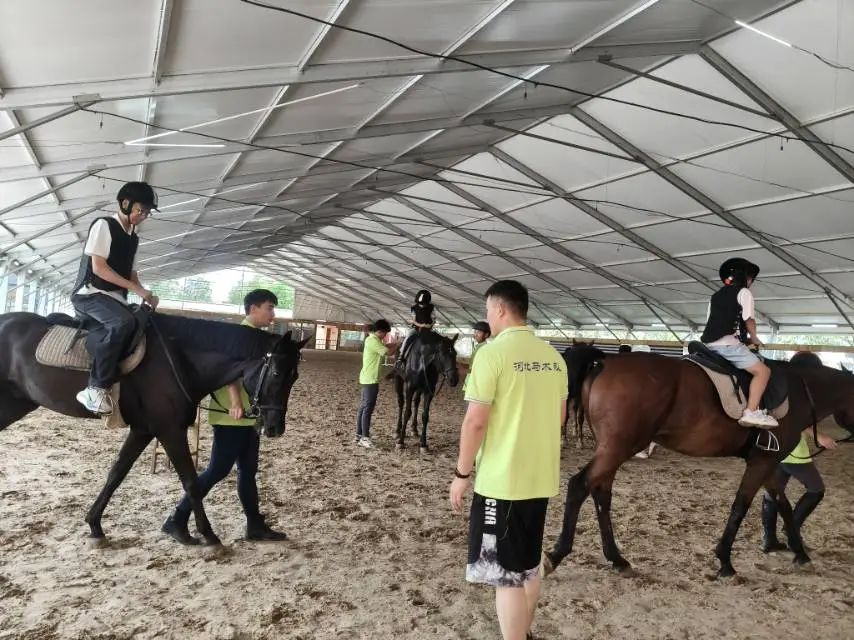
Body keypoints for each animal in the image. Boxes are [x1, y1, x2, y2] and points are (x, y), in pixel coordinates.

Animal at [0, 310, 309, 545]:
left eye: (295, 377)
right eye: (277, 372)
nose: (275, 427)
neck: (179, 358)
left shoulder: (143, 430)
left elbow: (116, 473)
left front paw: (95, 525)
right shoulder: (169, 430)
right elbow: (191, 481)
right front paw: (206, 534)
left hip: (15, 404)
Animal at [544, 344, 854, 578]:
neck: (800, 391)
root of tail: (603, 363)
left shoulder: (766, 463)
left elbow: (783, 505)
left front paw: (799, 552)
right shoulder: (762, 462)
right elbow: (741, 506)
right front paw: (725, 561)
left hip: (613, 450)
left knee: (601, 494)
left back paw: (617, 559)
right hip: (616, 449)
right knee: (579, 486)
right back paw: (557, 555)